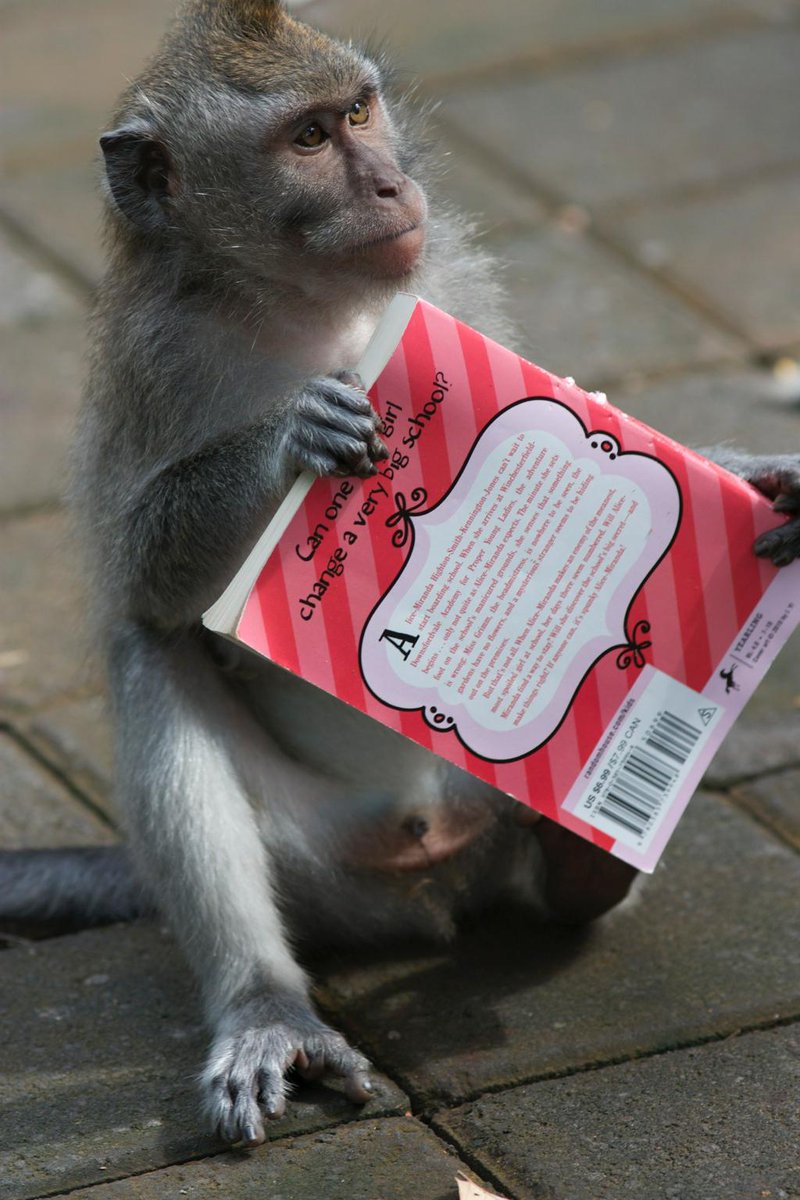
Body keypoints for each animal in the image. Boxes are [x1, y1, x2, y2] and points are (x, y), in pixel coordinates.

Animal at [3, 0, 800, 1150]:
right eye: (305, 140)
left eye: (358, 112)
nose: (388, 182)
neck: (303, 305)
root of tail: (430, 866)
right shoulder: (150, 357)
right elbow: (142, 586)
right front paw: (288, 436)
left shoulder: (448, 277)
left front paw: (754, 477)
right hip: (321, 869)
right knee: (148, 658)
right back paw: (264, 1002)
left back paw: (584, 860)